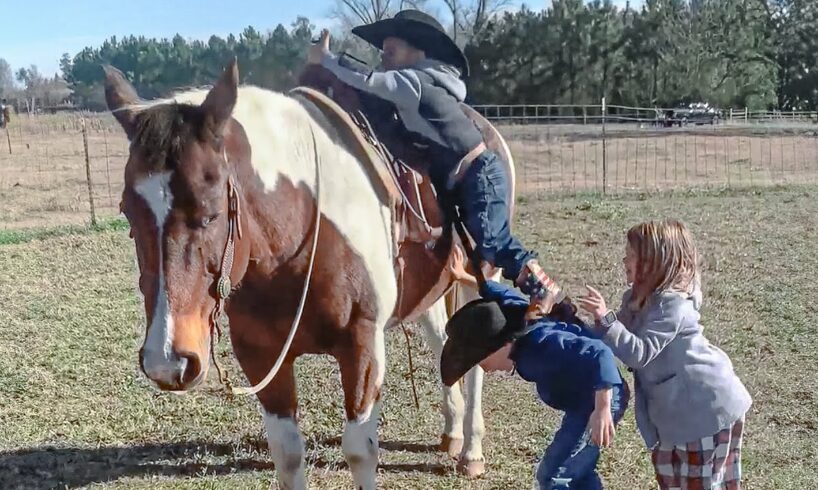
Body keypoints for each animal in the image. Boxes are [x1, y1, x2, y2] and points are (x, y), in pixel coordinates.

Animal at [103, 62, 510, 490]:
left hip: (482, 277)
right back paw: (452, 433)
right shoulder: (261, 355)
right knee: (443, 342)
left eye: (211, 213)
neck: (298, 232)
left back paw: (471, 451)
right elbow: (287, 454)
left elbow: (359, 450)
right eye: (128, 212)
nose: (167, 362)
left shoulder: (362, 347)